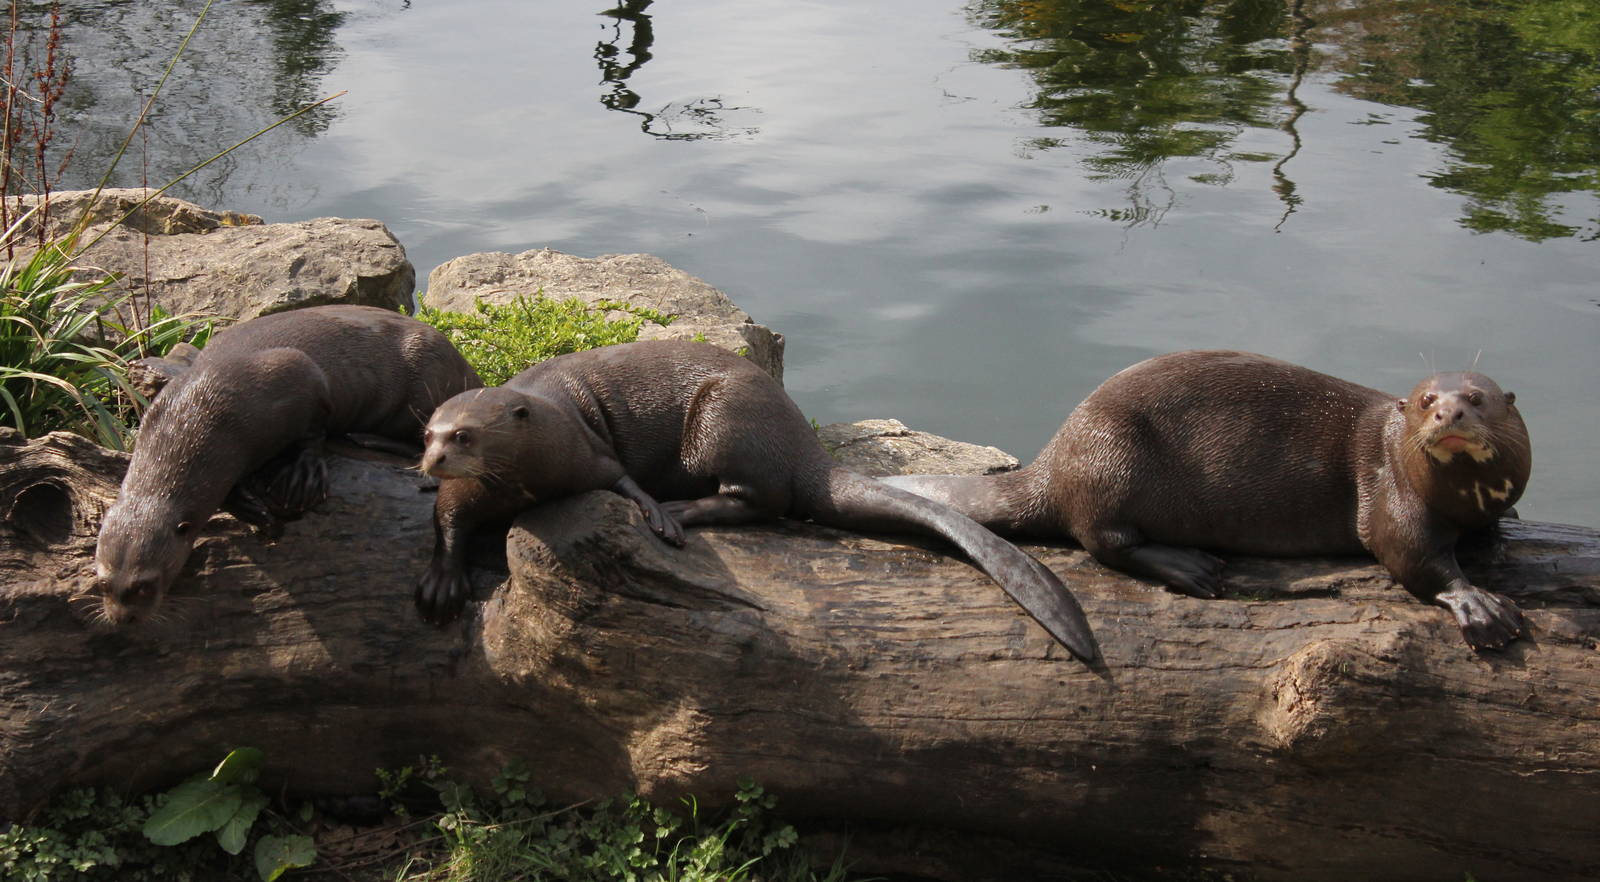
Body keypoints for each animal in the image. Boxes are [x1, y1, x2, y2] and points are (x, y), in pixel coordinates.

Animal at [93, 305, 482, 625]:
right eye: (103, 583)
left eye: (144, 584)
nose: (121, 619)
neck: (205, 408)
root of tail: (467, 368)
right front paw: (254, 511)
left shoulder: (300, 379)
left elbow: (314, 432)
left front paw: (301, 477)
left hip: (428, 382)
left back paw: (366, 438)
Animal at [413, 340, 1100, 663]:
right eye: (429, 433)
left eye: (466, 435)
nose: (432, 460)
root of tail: (800, 438)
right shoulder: (476, 486)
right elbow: (449, 515)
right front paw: (441, 580)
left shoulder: (588, 451)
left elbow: (622, 481)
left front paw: (655, 514)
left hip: (724, 421)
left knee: (765, 500)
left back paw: (684, 510)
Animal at [881, 351, 1532, 650]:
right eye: (1425, 401)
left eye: (1477, 398)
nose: (1449, 415)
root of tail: (1057, 457)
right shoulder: (1390, 491)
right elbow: (1411, 554)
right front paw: (1480, 605)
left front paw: (1502, 529)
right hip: (1112, 458)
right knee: (1102, 540)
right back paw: (1191, 566)